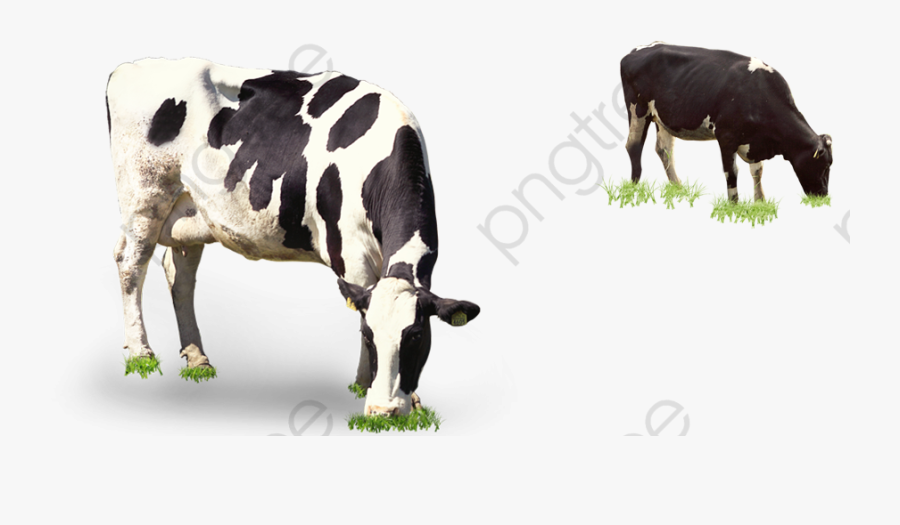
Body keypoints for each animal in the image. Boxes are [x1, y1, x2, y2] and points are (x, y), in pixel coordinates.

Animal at [106, 58, 480, 417]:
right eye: (369, 336)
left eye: (416, 336)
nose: (385, 411)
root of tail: (129, 67)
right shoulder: (349, 254)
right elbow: (359, 307)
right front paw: (365, 386)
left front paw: (407, 400)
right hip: (144, 198)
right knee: (131, 264)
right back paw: (141, 353)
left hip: (191, 213)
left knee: (180, 278)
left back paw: (198, 359)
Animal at [620, 42, 832, 201]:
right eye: (824, 166)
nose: (823, 196)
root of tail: (638, 50)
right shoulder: (726, 136)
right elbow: (732, 172)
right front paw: (734, 205)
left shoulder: (754, 140)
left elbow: (757, 171)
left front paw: (760, 202)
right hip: (638, 109)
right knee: (634, 145)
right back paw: (634, 188)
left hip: (662, 117)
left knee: (664, 149)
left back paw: (678, 187)